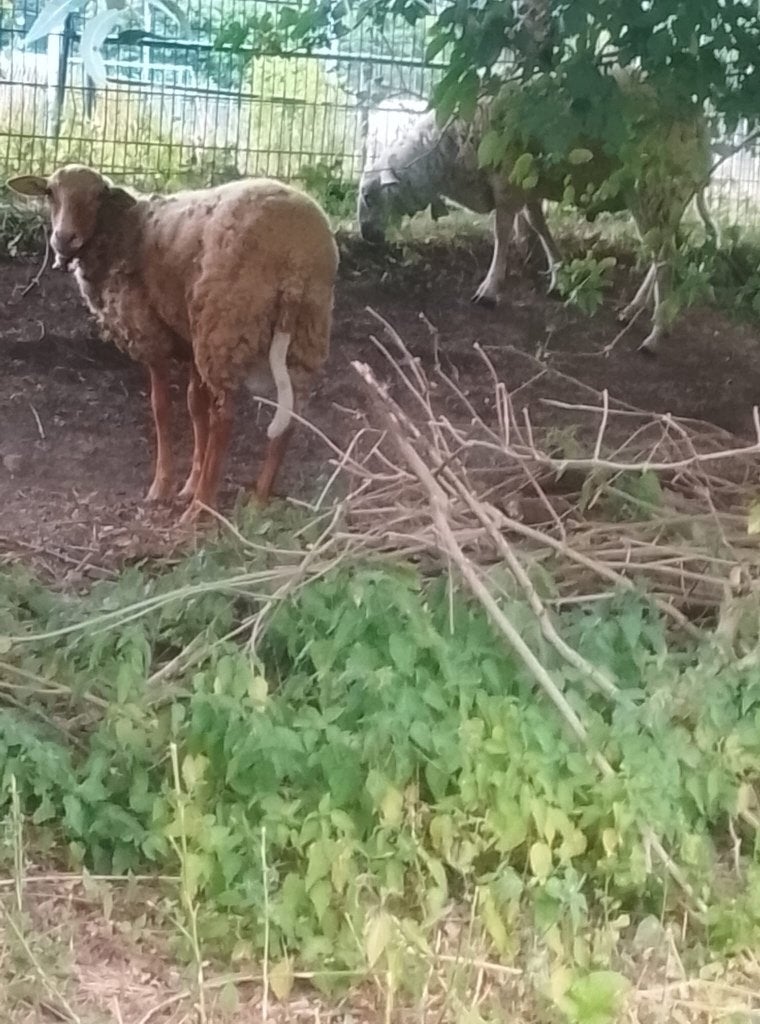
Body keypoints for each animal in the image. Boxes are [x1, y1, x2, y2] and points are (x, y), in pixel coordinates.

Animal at [7, 165, 339, 524]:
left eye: (97, 195)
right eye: (50, 193)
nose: (63, 238)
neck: (120, 228)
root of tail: (295, 256)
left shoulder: (150, 335)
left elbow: (162, 408)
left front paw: (163, 486)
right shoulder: (190, 339)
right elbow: (195, 407)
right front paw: (190, 483)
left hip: (223, 324)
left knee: (225, 418)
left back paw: (201, 508)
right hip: (303, 334)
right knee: (289, 418)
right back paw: (257, 502)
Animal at [357, 73, 711, 355]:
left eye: (369, 197)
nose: (366, 236)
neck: (448, 151)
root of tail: (701, 130)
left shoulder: (508, 181)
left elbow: (502, 232)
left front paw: (490, 290)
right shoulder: (528, 183)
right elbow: (538, 225)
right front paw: (560, 277)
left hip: (654, 187)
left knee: (663, 257)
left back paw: (656, 334)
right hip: (664, 198)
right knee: (662, 252)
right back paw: (634, 310)